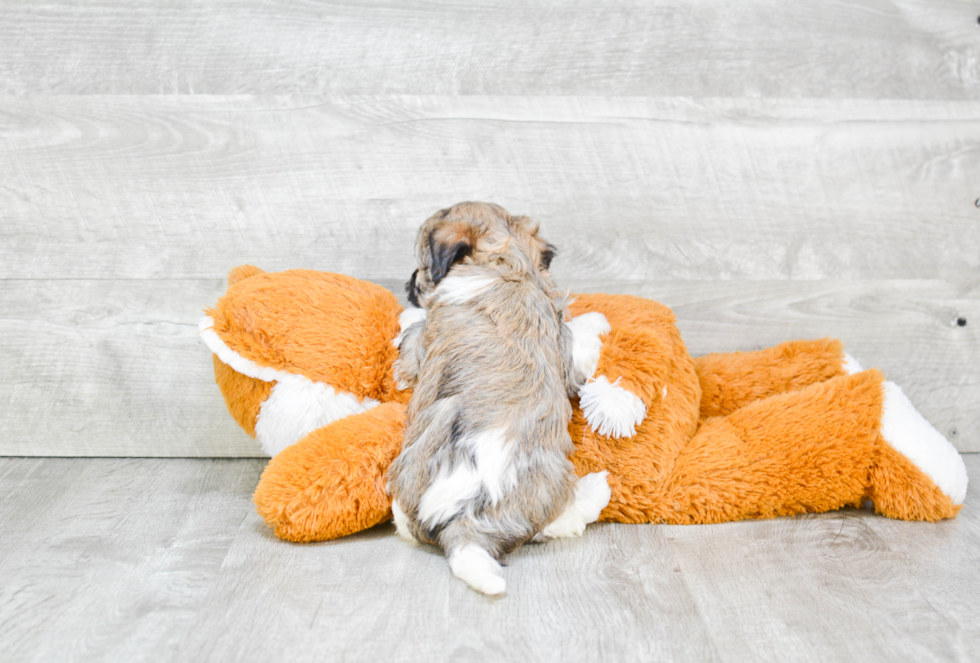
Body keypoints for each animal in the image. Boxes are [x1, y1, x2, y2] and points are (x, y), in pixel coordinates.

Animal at [384, 202, 608, 596]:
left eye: (421, 267)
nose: (409, 281)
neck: (502, 258)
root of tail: (462, 521)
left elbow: (412, 339)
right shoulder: (563, 344)